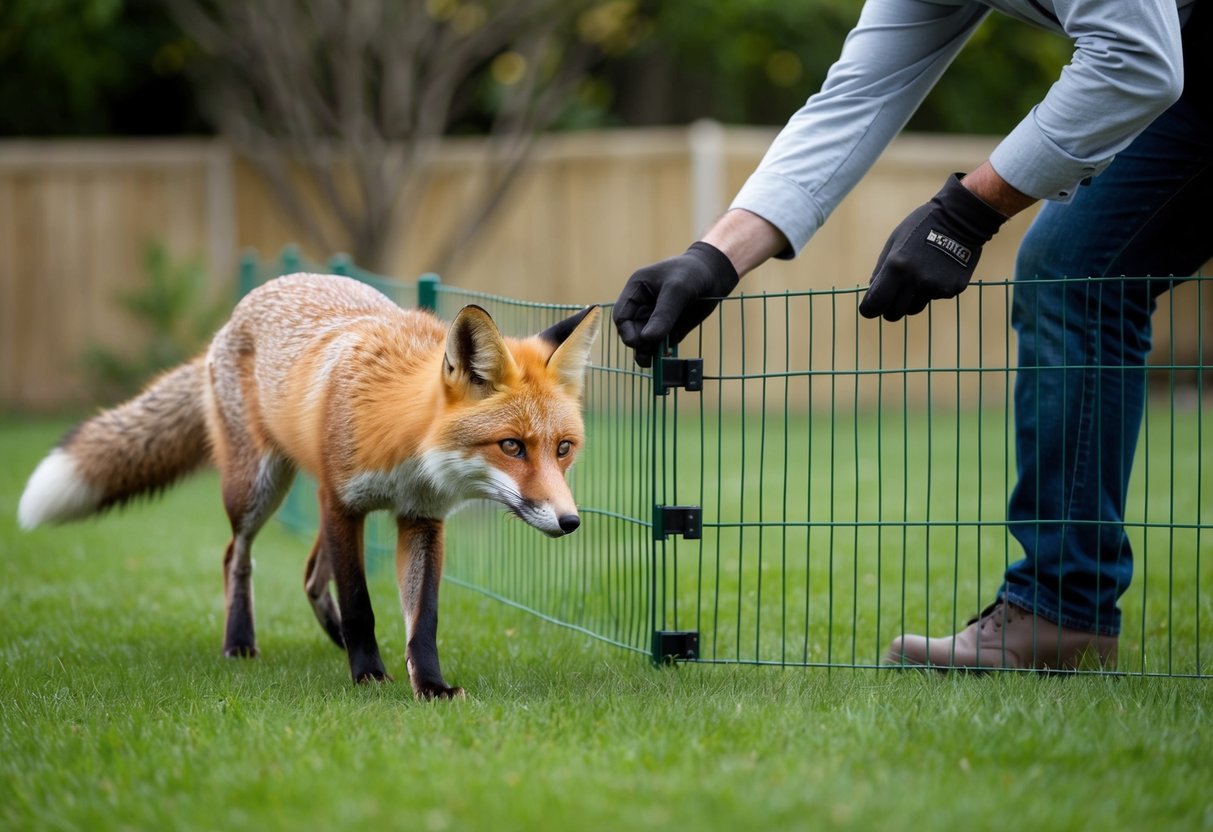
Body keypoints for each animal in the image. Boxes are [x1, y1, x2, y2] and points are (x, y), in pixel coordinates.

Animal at [18, 272, 602, 699]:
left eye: (563, 449)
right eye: (512, 446)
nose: (570, 521)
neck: (406, 448)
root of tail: (239, 310)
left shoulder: (420, 518)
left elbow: (424, 619)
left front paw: (431, 686)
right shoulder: (342, 504)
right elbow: (361, 601)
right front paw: (368, 675)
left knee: (309, 575)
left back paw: (333, 638)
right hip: (258, 488)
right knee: (237, 556)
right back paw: (241, 642)